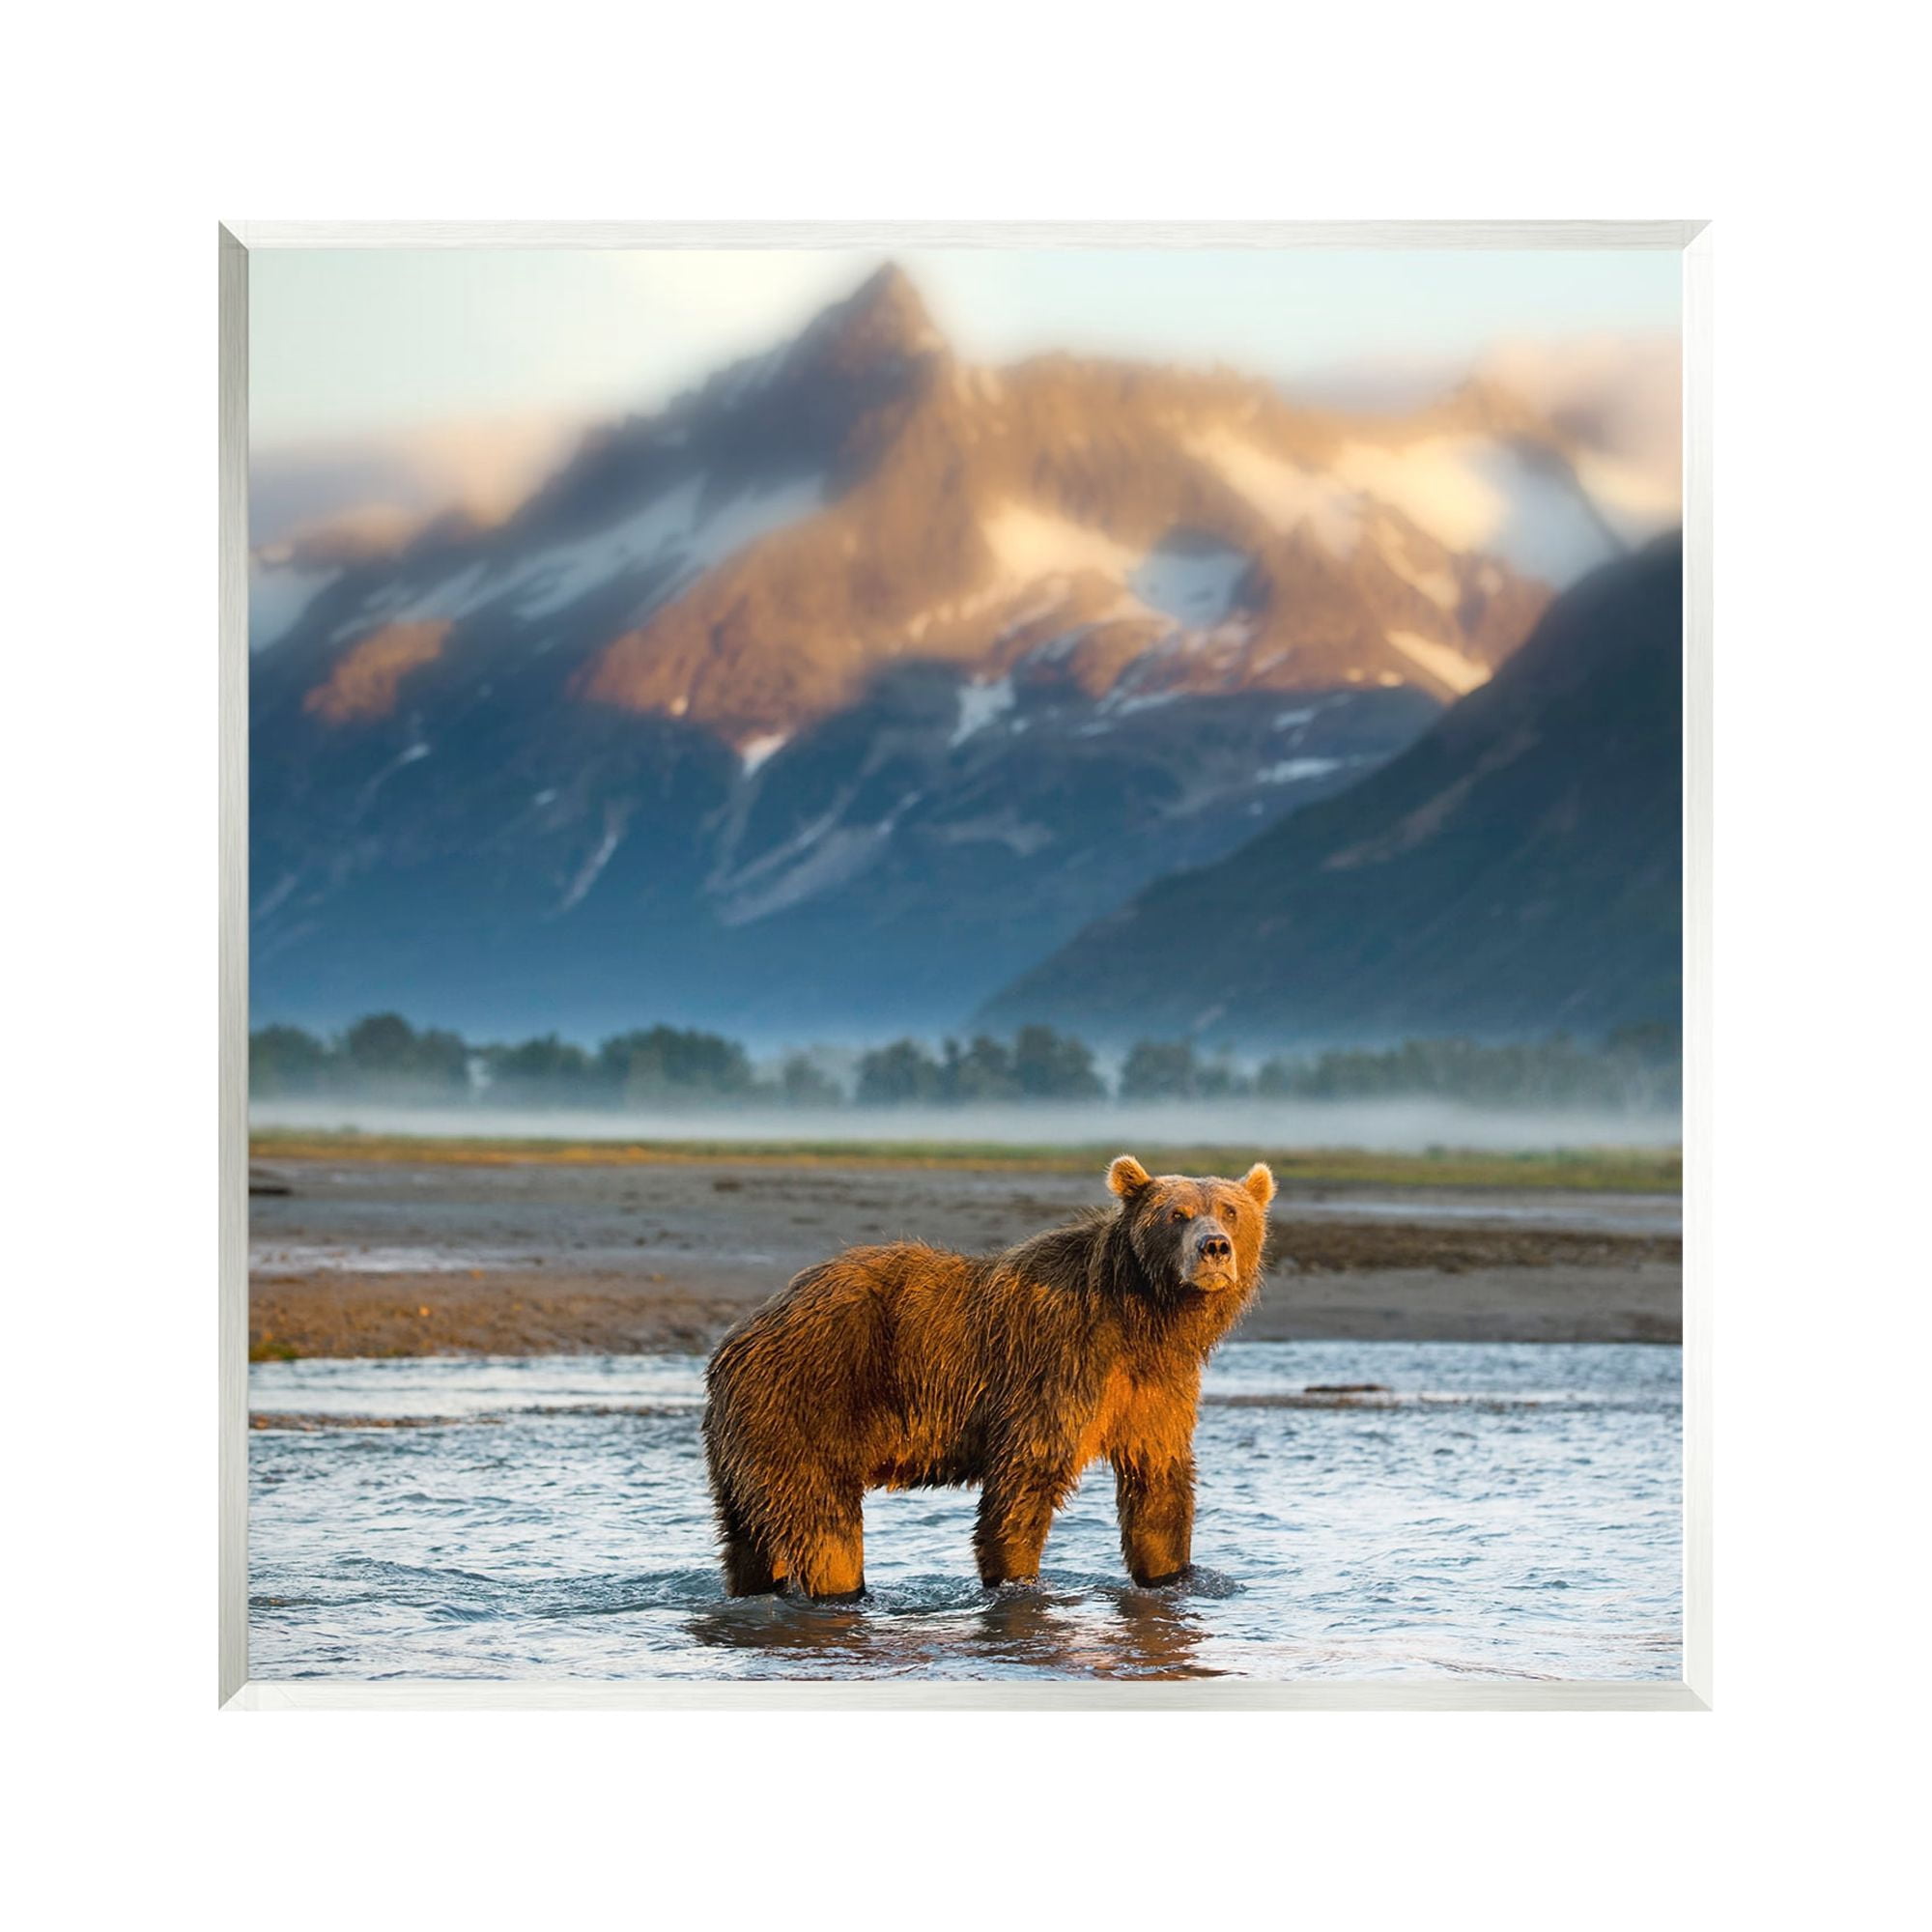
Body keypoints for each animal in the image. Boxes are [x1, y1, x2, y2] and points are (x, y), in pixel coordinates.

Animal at [701, 1153, 1275, 1599]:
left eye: (1230, 1210)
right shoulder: (1058, 1365)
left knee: (747, 1537)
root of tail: (738, 1335)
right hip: (811, 1400)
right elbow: (1025, 1482)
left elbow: (1158, 1483)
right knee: (824, 1529)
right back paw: (842, 1592)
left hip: (745, 1443)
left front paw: (1173, 1577)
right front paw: (1018, 1582)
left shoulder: (1155, 1386)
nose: (1214, 1247)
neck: (1146, 1317)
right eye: (1178, 1214)